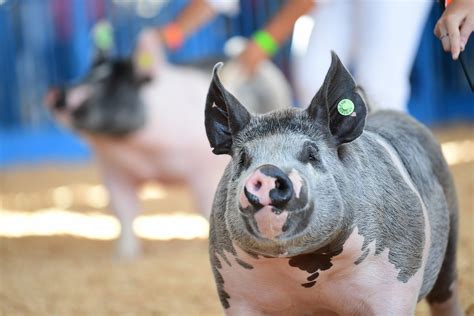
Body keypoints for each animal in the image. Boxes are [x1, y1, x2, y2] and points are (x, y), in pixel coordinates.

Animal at [46, 31, 288, 260]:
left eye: (106, 83)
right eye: (85, 75)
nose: (55, 93)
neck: (142, 151)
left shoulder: (204, 170)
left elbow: (206, 207)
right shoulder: (114, 171)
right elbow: (124, 211)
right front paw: (124, 257)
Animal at [204, 53, 462, 314]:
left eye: (312, 154)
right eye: (243, 159)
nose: (266, 171)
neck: (305, 270)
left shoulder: (396, 286)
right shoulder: (235, 293)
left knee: (445, 292)